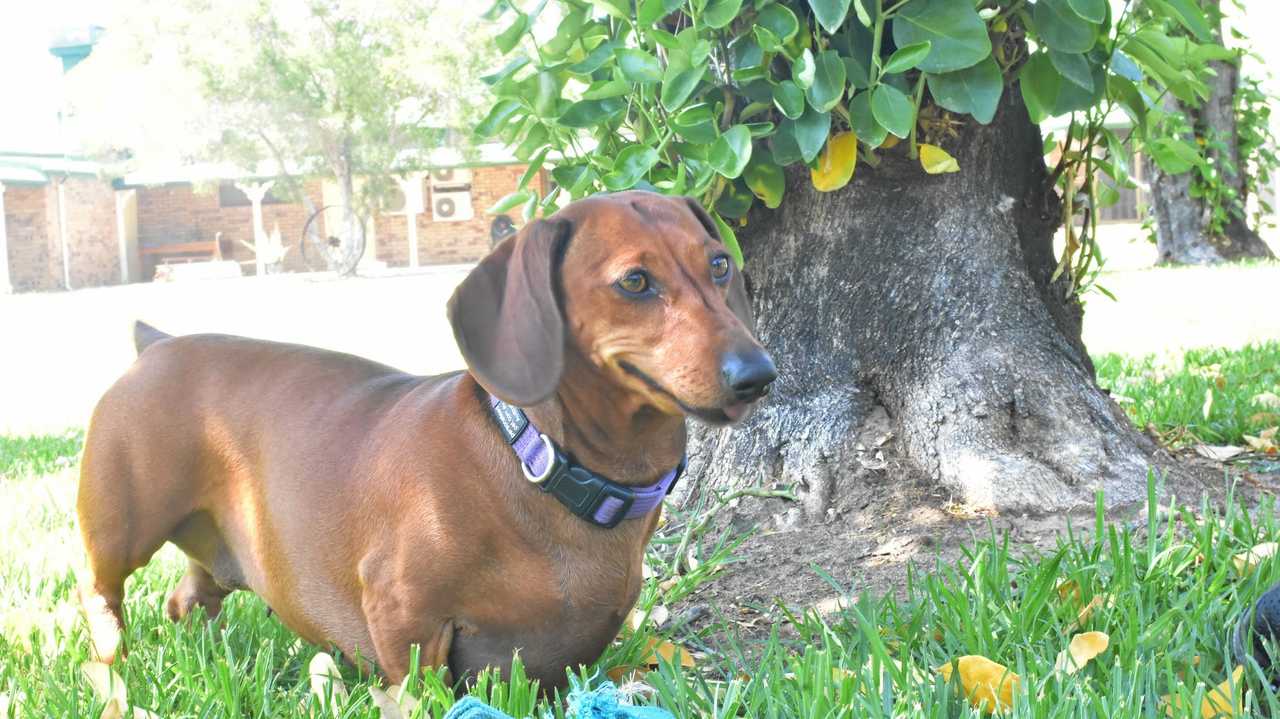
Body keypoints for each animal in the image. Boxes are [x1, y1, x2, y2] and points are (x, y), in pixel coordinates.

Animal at [82, 191, 778, 690]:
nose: (759, 375)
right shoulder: (403, 617)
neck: (539, 465)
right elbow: (424, 688)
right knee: (102, 596)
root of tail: (158, 343)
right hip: (119, 532)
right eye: (635, 281)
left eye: (719, 264)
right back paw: (113, 671)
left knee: (186, 599)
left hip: (218, 553)